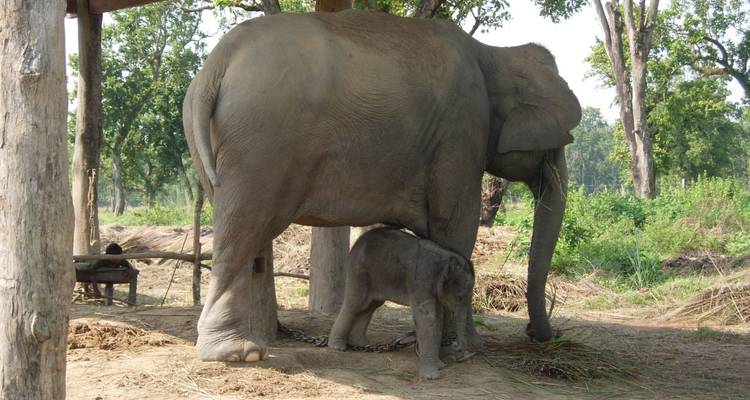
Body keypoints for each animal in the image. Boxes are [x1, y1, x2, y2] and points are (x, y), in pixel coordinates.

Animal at [183, 9, 581, 363]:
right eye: (558, 144)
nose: (539, 334)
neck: (493, 52)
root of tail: (218, 61)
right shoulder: (462, 132)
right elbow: (456, 229)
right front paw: (467, 350)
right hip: (260, 143)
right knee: (242, 231)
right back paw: (236, 352)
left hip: (216, 145)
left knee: (246, 232)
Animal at [328, 227, 478, 380]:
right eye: (460, 297)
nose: (457, 347)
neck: (447, 256)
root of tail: (357, 242)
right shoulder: (421, 280)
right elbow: (426, 317)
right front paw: (431, 377)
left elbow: (437, 318)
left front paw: (440, 366)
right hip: (359, 272)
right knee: (354, 304)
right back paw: (337, 347)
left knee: (370, 306)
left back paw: (361, 343)